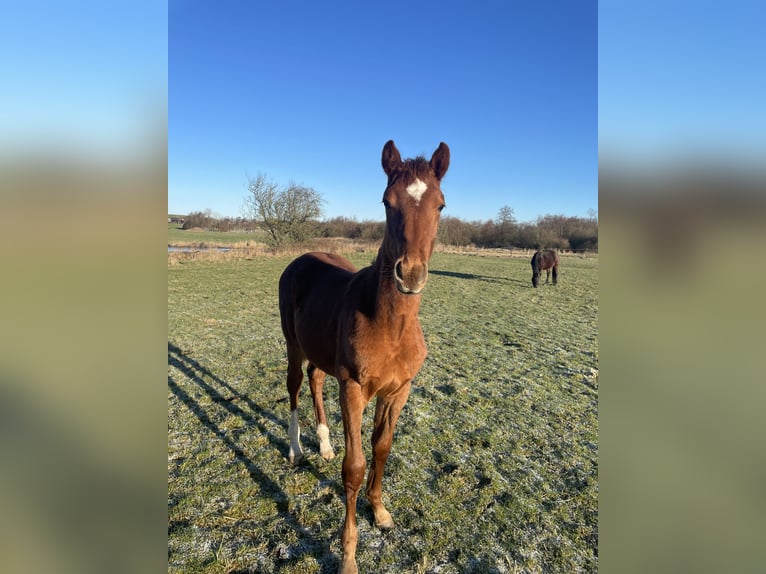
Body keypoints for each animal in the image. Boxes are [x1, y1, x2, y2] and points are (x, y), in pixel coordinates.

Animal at [280, 141, 450, 574]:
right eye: (387, 202)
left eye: (440, 205)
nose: (410, 274)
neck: (390, 327)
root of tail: (302, 257)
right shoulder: (353, 389)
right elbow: (354, 467)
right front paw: (349, 555)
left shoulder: (398, 391)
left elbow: (382, 448)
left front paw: (381, 512)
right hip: (293, 344)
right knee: (294, 386)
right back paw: (296, 450)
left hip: (320, 354)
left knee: (315, 379)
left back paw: (324, 445)